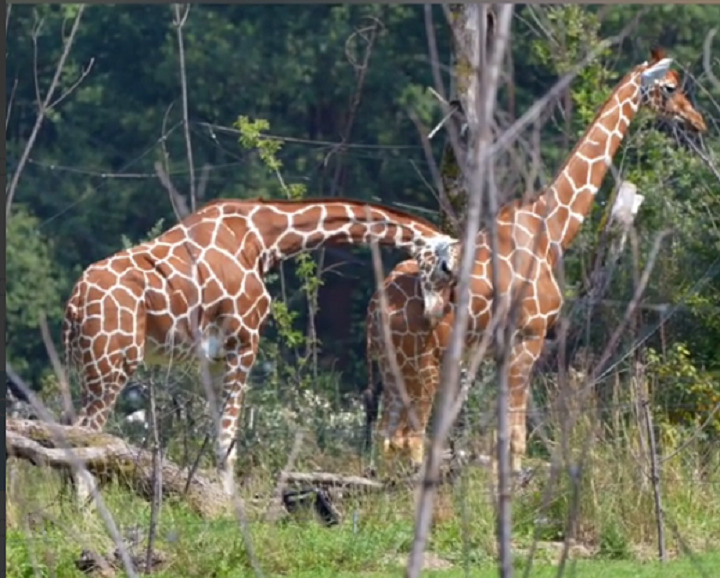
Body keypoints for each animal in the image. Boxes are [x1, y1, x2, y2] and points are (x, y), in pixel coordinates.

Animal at [62, 196, 456, 492]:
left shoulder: (213, 359)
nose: (435, 315)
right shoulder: (244, 342)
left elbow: (217, 434)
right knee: (85, 432)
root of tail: (75, 303)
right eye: (446, 270)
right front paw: (228, 508)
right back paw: (86, 516)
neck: (263, 239)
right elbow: (228, 441)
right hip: (114, 361)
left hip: (85, 363)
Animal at [366, 48, 708, 472]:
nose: (697, 121)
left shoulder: (503, 351)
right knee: (409, 440)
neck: (552, 230)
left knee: (386, 440)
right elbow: (515, 439)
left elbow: (504, 436)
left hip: (391, 366)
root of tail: (374, 308)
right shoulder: (528, 338)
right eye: (672, 86)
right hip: (421, 363)